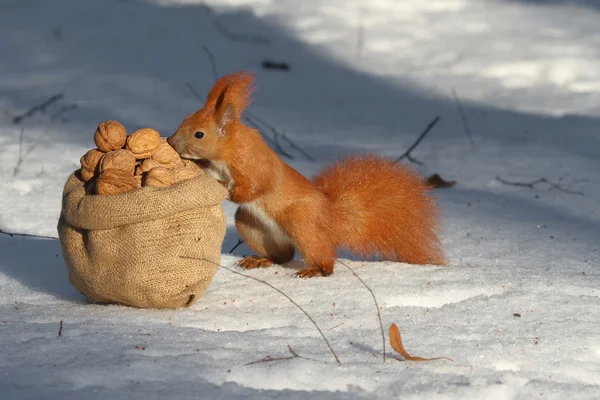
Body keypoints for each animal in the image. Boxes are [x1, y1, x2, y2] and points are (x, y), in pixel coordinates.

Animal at [168, 71, 446, 278]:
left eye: (199, 134)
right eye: (184, 119)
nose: (171, 141)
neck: (227, 152)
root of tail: (329, 219)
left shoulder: (254, 164)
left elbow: (254, 186)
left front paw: (227, 192)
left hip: (301, 225)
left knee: (324, 259)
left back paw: (314, 270)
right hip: (252, 225)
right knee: (283, 256)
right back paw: (261, 260)